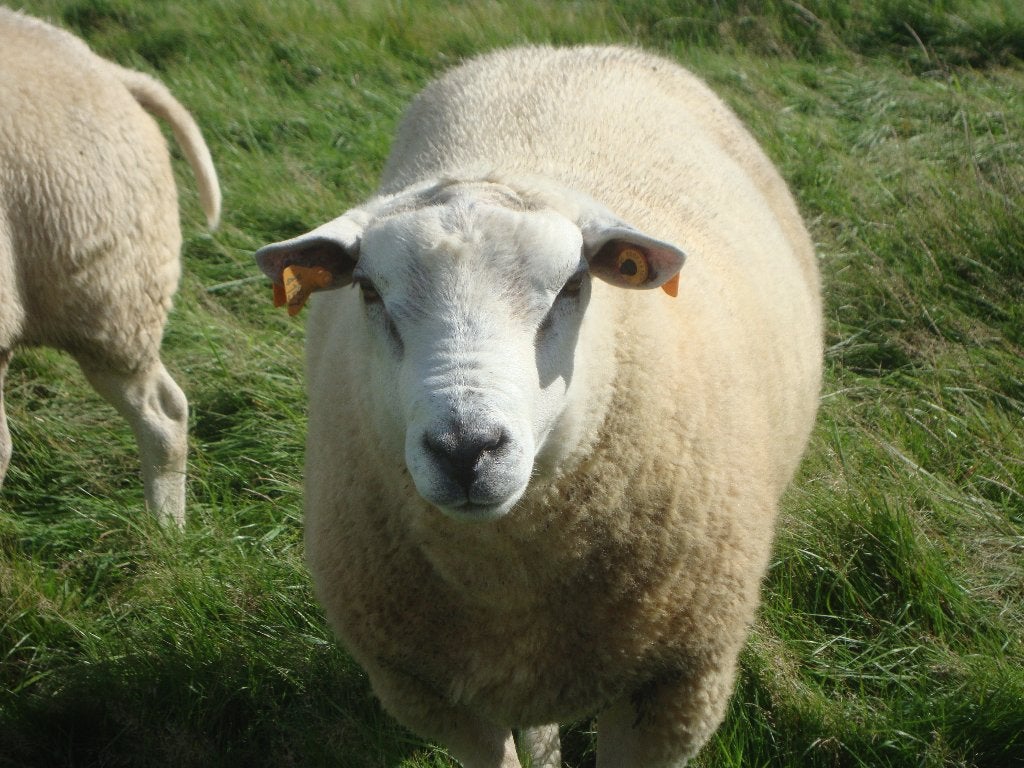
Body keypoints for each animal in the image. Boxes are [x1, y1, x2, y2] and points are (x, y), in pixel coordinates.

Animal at [256, 45, 821, 767]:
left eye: (573, 285)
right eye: (370, 293)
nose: (465, 449)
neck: (506, 580)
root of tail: (556, 50)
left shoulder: (676, 685)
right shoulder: (426, 689)